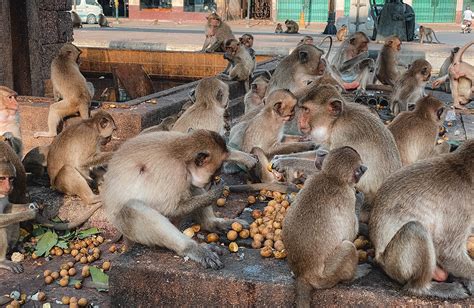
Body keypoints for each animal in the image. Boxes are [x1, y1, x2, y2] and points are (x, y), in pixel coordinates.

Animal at [101, 129, 244, 268]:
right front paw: (214, 194)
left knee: (191, 187)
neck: (181, 151)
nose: (212, 180)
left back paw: (211, 223)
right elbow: (171, 210)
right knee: (131, 208)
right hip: (125, 227)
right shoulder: (176, 173)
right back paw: (191, 248)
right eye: (215, 172)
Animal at [282, 147, 370, 308]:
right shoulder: (348, 196)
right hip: (325, 277)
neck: (331, 177)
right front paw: (359, 201)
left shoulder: (312, 178)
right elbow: (350, 233)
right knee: (348, 246)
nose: (364, 168)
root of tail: (302, 274)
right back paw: (353, 275)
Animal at [370, 140, 474, 298]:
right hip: (393, 264)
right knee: (415, 228)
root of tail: (378, 257)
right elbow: (448, 252)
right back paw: (423, 288)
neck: (465, 173)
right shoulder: (461, 206)